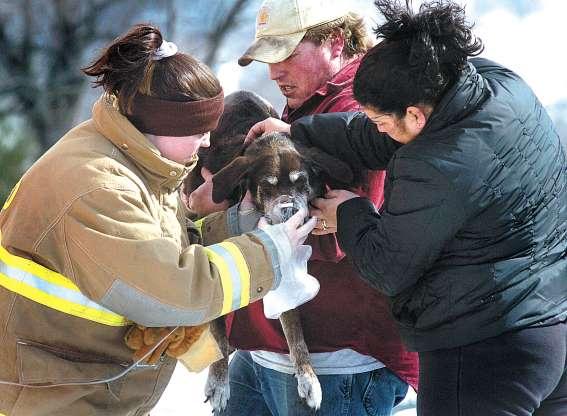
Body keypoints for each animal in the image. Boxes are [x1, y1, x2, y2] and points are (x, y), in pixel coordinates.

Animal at [185, 89, 356, 412]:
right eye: (268, 185)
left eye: (303, 183)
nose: (289, 210)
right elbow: (217, 331)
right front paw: (219, 381)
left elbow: (294, 330)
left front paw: (307, 377)